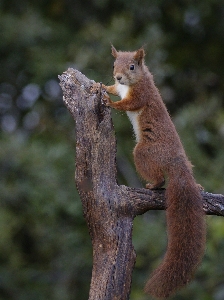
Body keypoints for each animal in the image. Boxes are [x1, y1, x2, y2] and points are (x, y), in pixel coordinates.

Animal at [93, 45, 205, 298]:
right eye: (114, 65)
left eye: (132, 66)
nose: (118, 76)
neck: (134, 82)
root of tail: (177, 163)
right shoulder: (122, 87)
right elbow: (113, 89)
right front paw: (100, 85)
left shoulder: (141, 94)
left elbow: (129, 104)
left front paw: (110, 103)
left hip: (144, 153)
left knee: (160, 177)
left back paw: (153, 184)